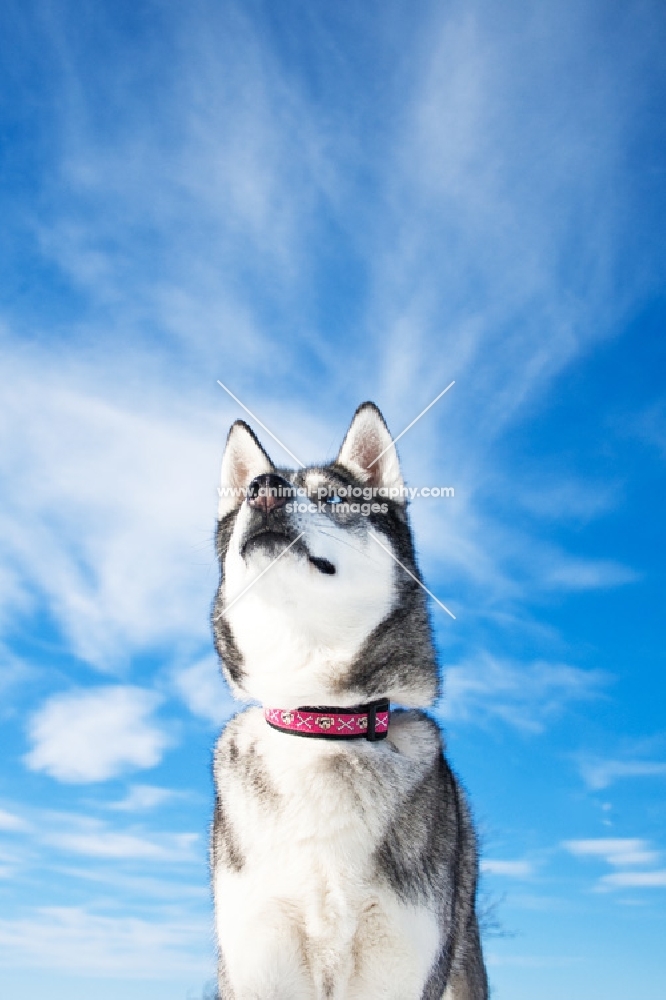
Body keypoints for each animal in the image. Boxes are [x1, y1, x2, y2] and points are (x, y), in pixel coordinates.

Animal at [210, 402, 486, 996]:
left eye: (333, 499)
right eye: (245, 499)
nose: (263, 489)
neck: (321, 720)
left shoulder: (401, 961)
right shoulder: (259, 957)